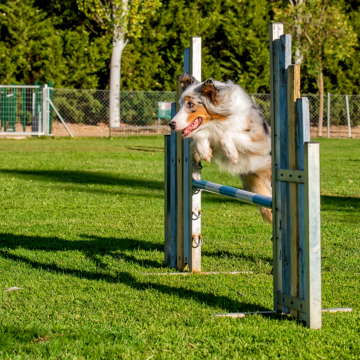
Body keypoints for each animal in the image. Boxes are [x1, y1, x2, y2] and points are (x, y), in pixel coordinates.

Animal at [170, 73, 272, 222]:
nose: (171, 124)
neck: (216, 121)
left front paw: (233, 155)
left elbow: (226, 134)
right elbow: (200, 136)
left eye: (190, 104)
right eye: (181, 104)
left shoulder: (256, 139)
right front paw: (205, 152)